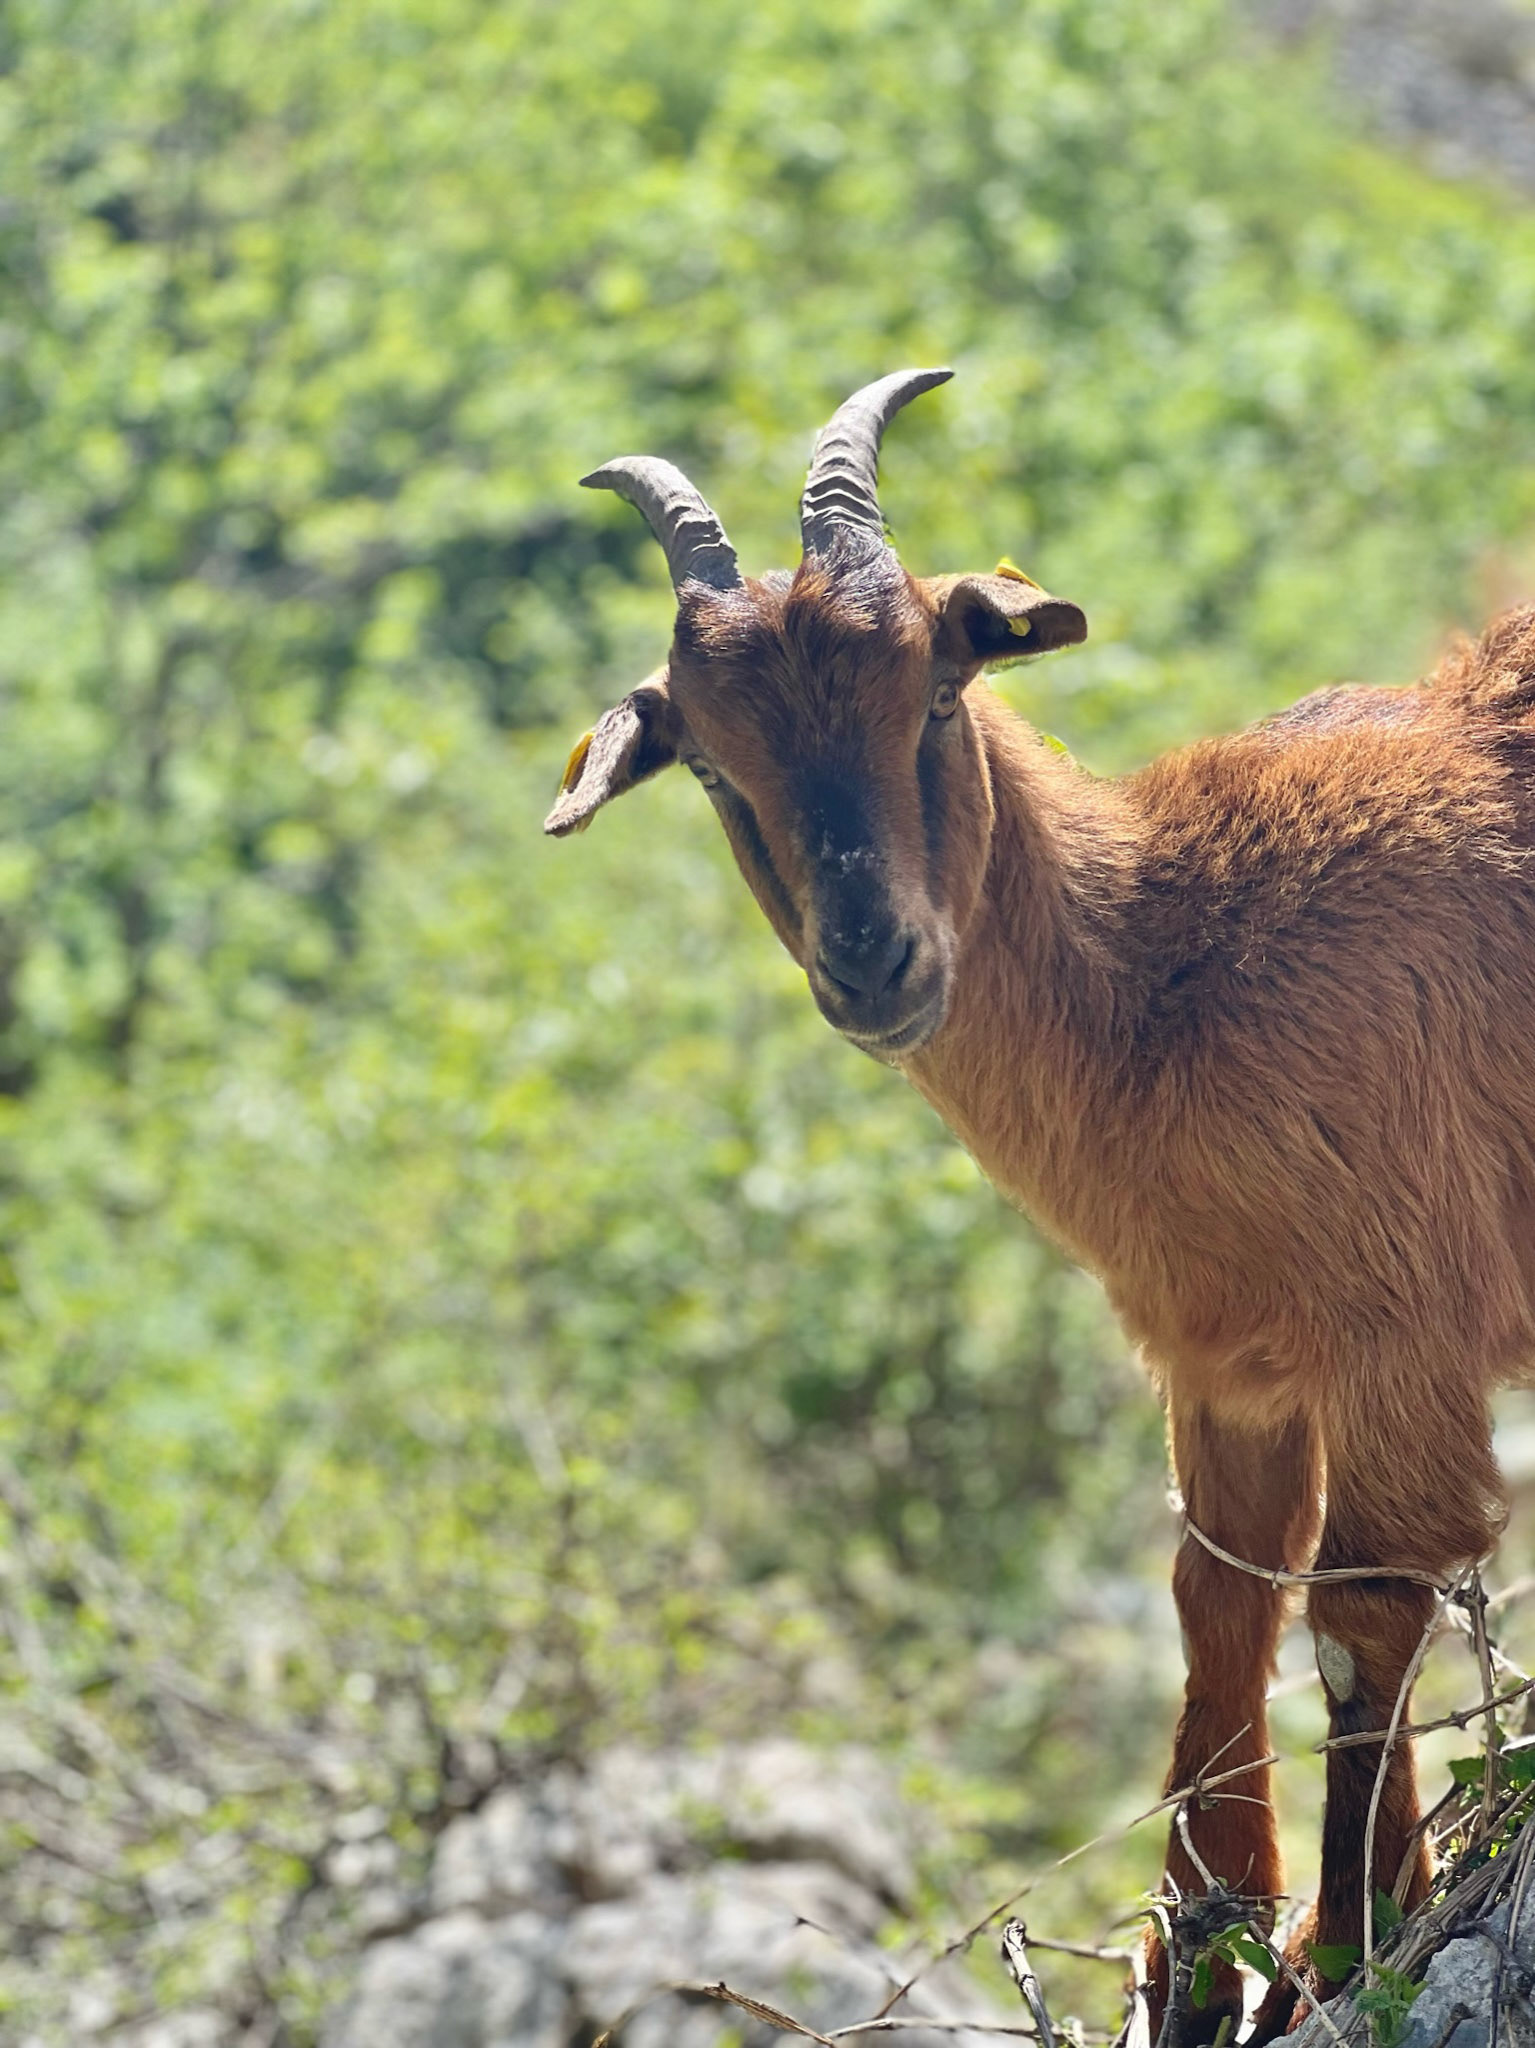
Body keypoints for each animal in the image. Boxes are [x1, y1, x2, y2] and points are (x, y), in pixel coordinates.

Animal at [544, 369, 1535, 2042]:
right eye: (712, 765)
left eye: (936, 694)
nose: (872, 962)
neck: (1173, 968)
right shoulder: (1227, 1363)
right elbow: (1216, 1602)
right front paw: (1200, 1953)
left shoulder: (1401, 1317)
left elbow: (1353, 1617)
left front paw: (1340, 1947)